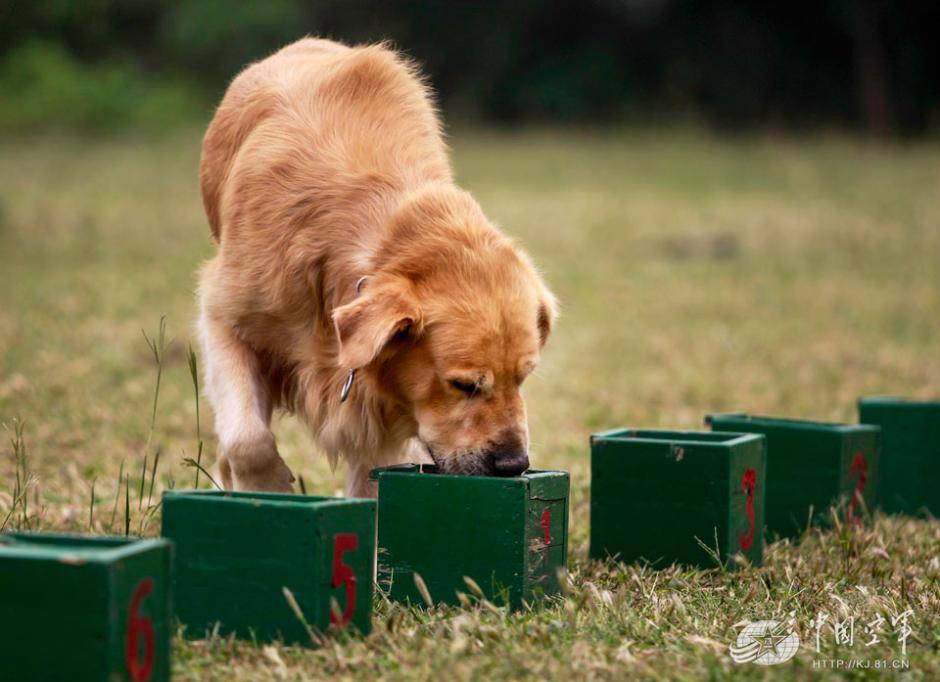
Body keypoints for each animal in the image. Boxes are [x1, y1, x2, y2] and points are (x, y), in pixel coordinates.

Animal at [195, 37, 556, 494]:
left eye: (524, 377)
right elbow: (248, 439)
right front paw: (269, 490)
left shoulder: (379, 411)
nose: (514, 464)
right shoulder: (225, 316)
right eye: (463, 385)